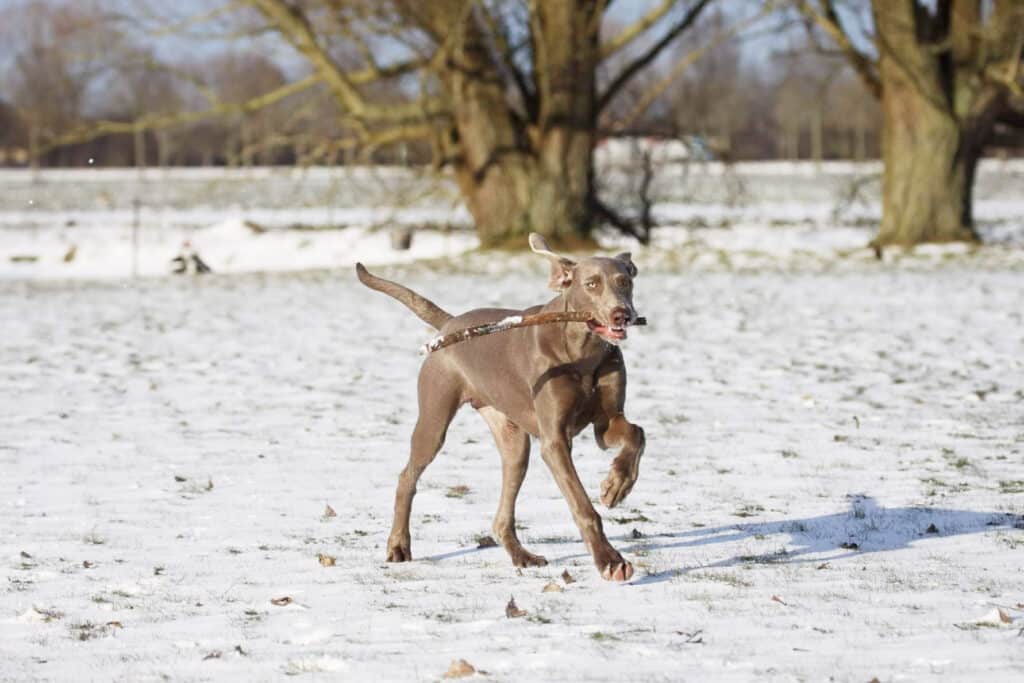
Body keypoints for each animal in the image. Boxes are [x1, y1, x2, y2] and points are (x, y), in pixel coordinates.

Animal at [356, 232, 643, 581]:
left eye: (624, 281)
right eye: (591, 284)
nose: (622, 314)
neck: (582, 349)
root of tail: (450, 324)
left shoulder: (606, 421)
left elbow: (636, 434)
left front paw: (618, 485)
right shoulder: (555, 441)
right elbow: (582, 504)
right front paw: (609, 560)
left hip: (513, 440)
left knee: (504, 506)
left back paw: (522, 555)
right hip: (433, 420)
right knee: (406, 478)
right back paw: (398, 545)